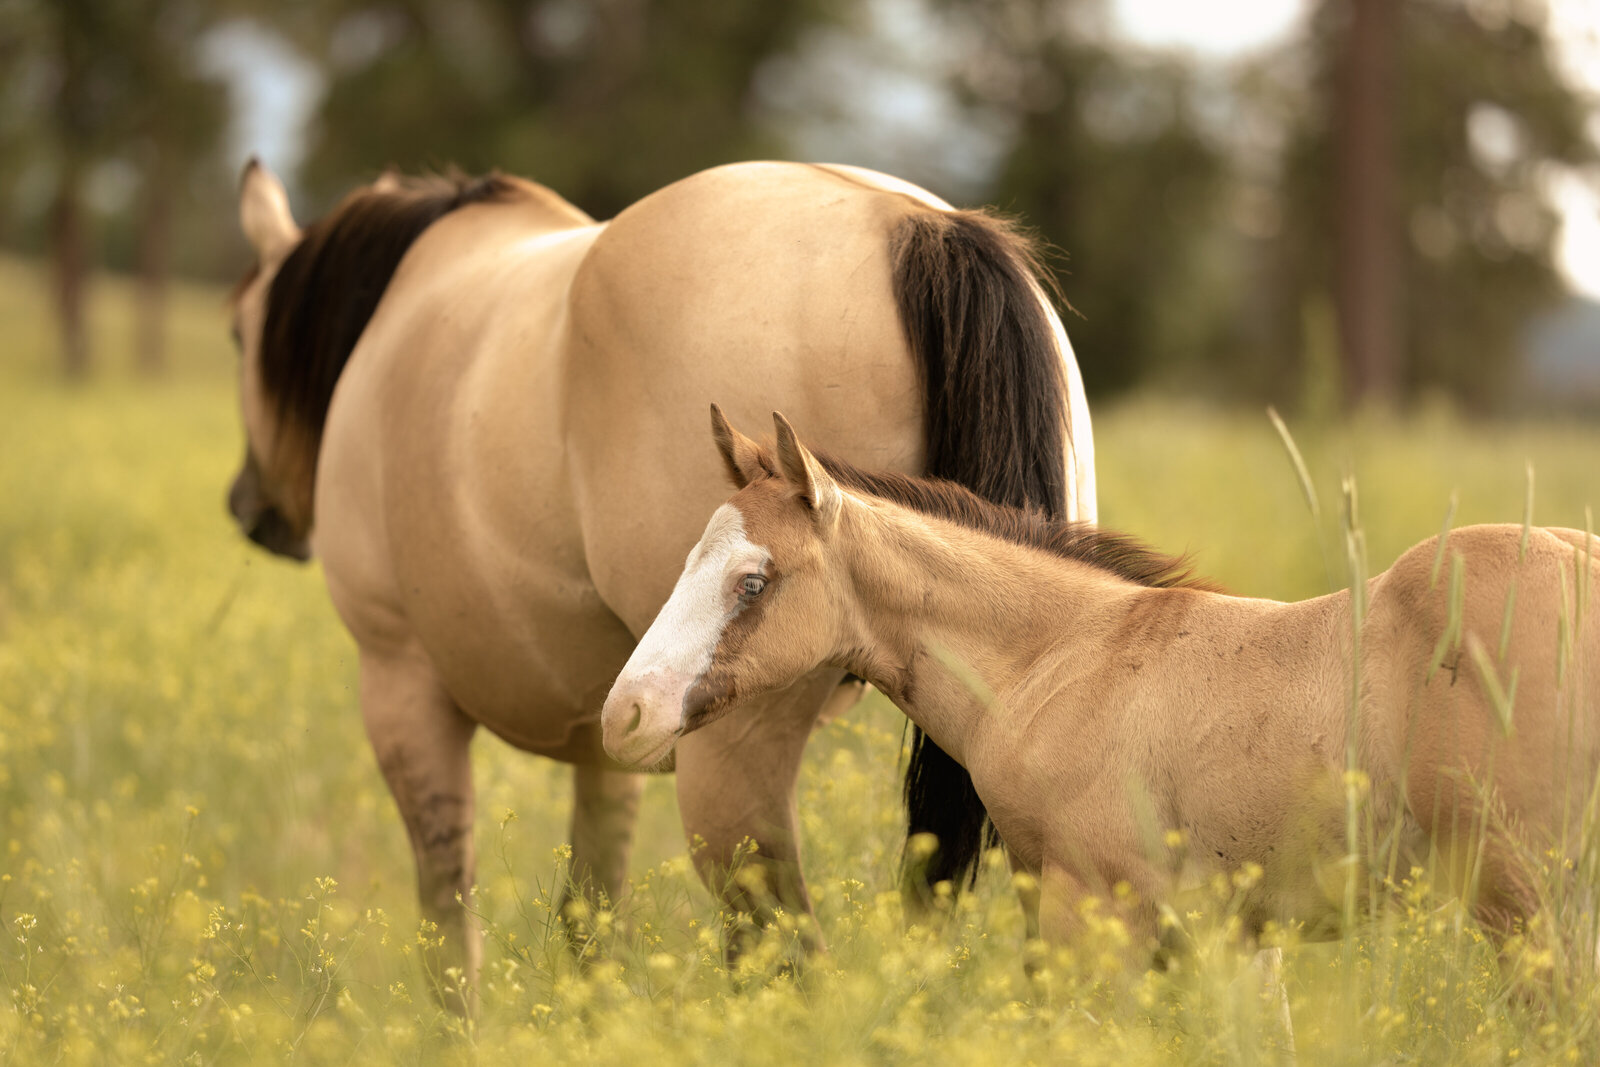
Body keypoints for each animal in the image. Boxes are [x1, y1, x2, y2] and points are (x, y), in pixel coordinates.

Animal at [228, 154, 1100, 1004]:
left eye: (238, 333)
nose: (248, 506)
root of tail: (914, 225)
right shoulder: (615, 728)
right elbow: (588, 919)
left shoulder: (402, 685)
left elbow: (449, 936)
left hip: (733, 761)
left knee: (785, 954)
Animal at [604, 412, 1600, 959]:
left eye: (754, 581)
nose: (626, 713)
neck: (1060, 655)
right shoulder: (1231, 941)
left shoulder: (1090, 912)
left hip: (1524, 899)